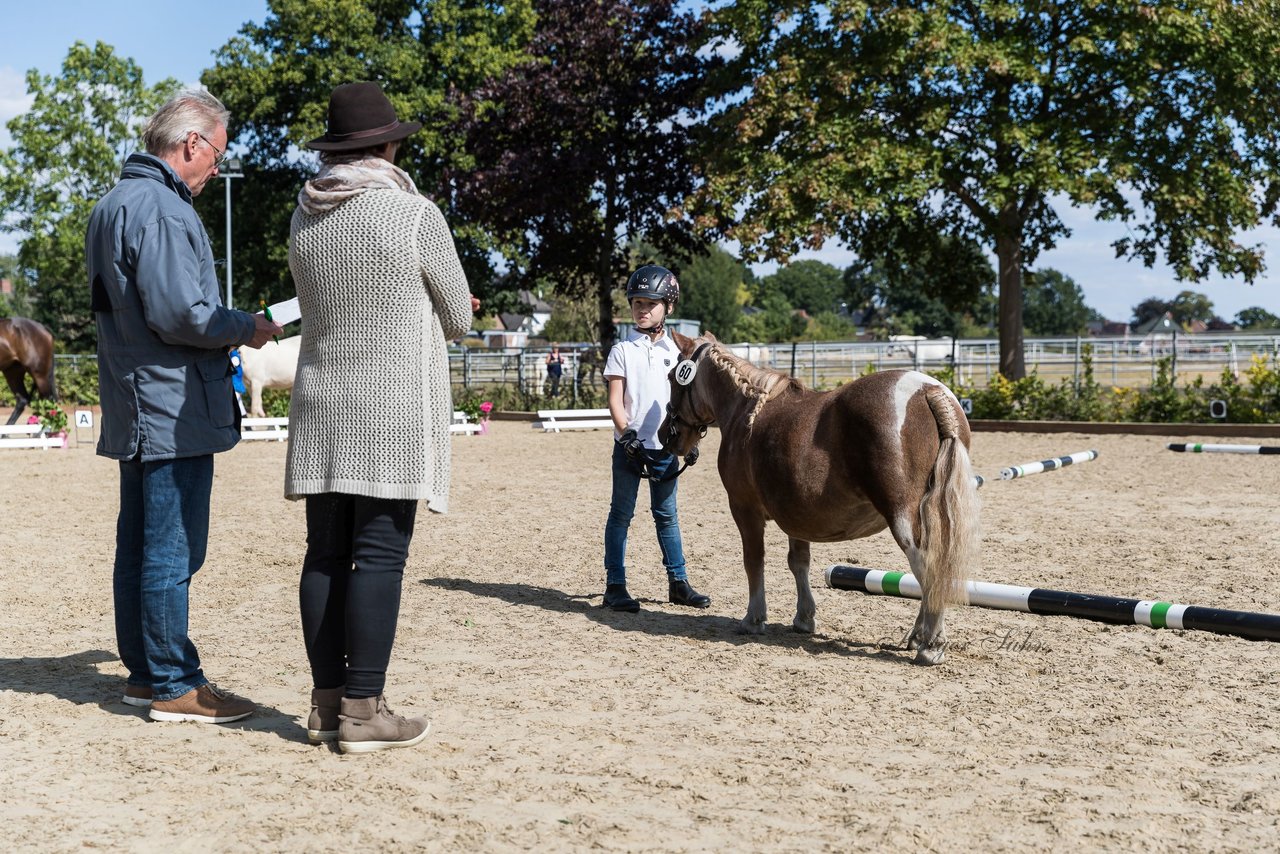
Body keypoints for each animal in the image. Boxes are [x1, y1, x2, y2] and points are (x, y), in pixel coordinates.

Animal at [660, 330, 977, 665]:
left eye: (671, 376)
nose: (666, 436)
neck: (748, 411)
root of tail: (929, 390)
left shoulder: (745, 509)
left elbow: (754, 561)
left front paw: (754, 619)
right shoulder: (796, 516)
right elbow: (799, 563)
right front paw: (804, 618)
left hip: (904, 517)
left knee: (927, 567)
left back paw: (930, 644)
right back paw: (917, 636)